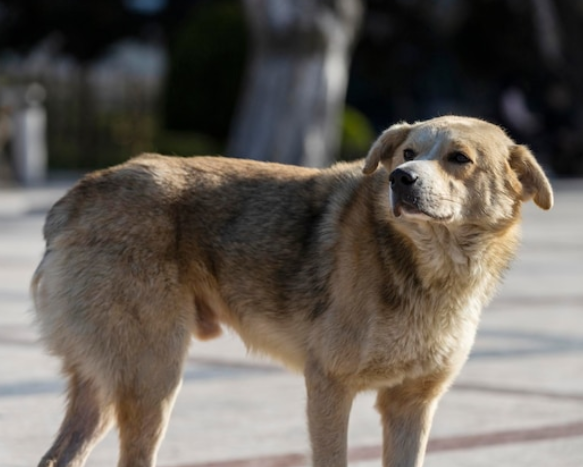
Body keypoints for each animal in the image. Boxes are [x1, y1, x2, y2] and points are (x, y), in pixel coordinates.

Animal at [32, 116, 553, 467]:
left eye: (459, 159)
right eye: (408, 153)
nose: (399, 179)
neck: (431, 267)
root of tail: (78, 195)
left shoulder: (411, 405)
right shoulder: (328, 386)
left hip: (111, 383)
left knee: (58, 458)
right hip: (152, 374)